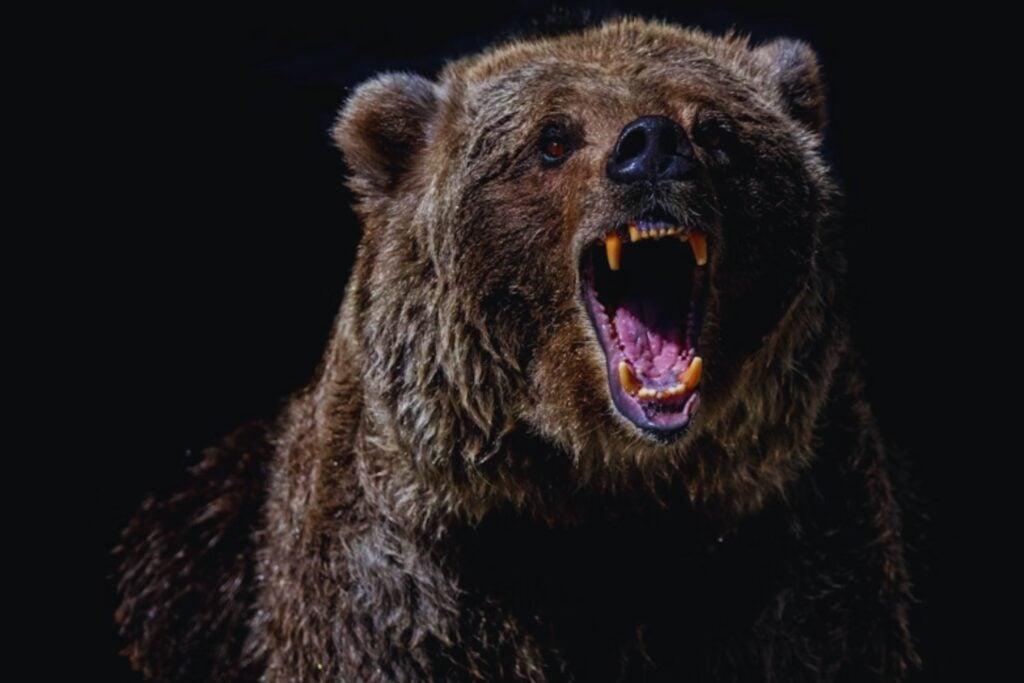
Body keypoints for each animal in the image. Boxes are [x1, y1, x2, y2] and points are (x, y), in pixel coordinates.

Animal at [113, 17, 919, 682]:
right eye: (553, 139)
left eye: (717, 129)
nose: (653, 145)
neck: (605, 487)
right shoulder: (409, 585)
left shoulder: (796, 549)